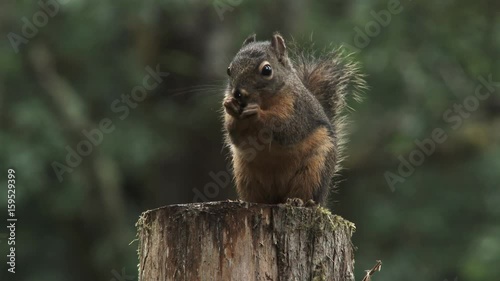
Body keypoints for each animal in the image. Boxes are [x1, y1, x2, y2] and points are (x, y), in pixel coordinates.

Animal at [223, 32, 368, 205]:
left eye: (267, 70)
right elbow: (236, 134)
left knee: (305, 191)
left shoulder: (299, 110)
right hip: (245, 175)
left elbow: (287, 127)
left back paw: (299, 201)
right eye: (229, 70)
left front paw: (257, 113)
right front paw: (230, 106)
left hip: (314, 169)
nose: (238, 94)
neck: (264, 101)